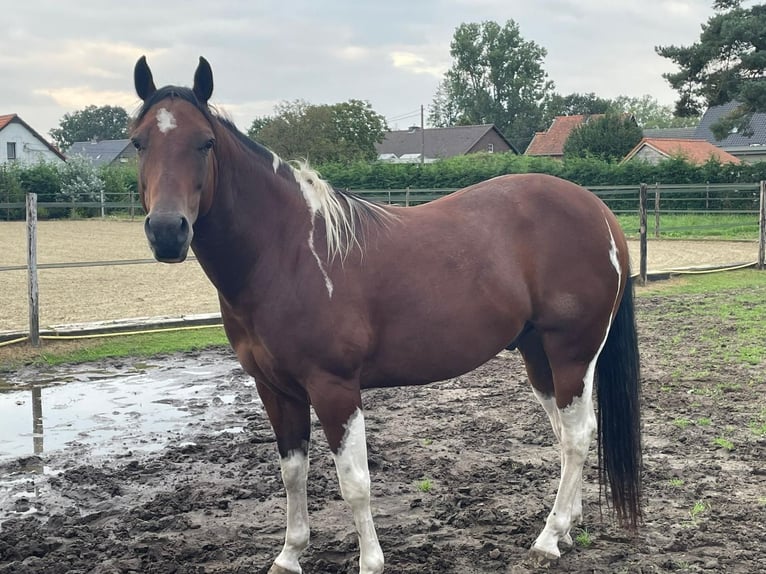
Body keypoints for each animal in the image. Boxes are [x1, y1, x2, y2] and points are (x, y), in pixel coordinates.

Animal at [132, 55, 640, 574]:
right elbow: (293, 473)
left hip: (572, 352)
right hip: (538, 353)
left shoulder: (334, 387)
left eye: (206, 142)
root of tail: (599, 211)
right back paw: (568, 528)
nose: (168, 231)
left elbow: (354, 482)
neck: (287, 253)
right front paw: (290, 554)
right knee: (565, 434)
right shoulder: (274, 389)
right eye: (138, 142)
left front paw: (370, 561)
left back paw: (548, 538)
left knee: (577, 436)